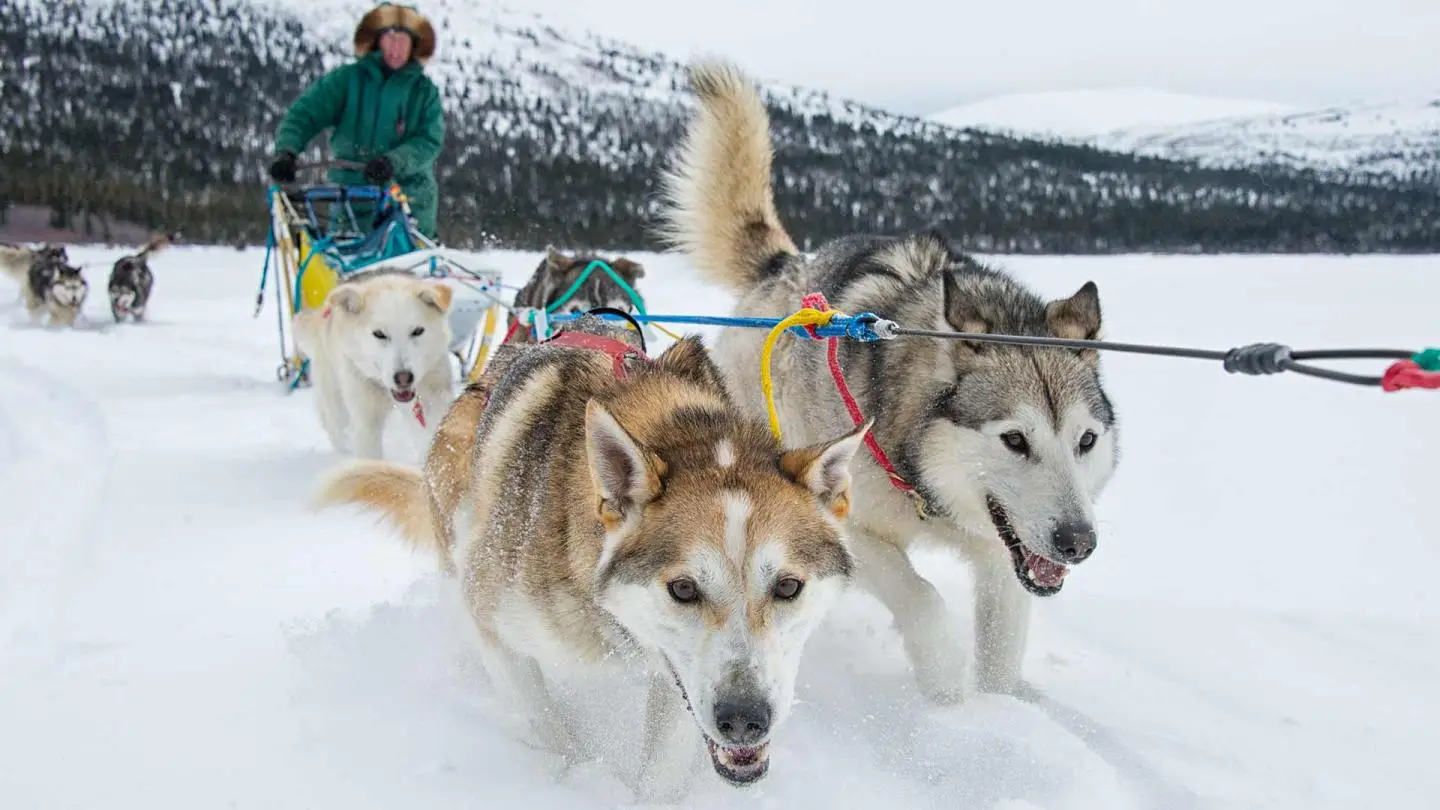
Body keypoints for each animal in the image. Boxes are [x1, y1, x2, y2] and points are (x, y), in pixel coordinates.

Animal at [289, 268, 452, 458]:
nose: (404, 377)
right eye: (379, 334)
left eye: (417, 331)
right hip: (336, 407)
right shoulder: (366, 422)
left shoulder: (435, 400)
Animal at [313, 312, 864, 795]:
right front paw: (568, 779)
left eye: (788, 586)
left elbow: (661, 772)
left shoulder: (677, 677)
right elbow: (552, 734)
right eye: (683, 588)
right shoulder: (497, 628)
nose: (745, 720)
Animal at [656, 58, 1123, 700]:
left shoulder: (1005, 554)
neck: (930, 488)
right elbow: (920, 598)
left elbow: (1002, 647)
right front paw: (946, 688)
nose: (1078, 542)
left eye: (1086, 441)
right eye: (1014, 439)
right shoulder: (847, 529)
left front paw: (999, 711)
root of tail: (787, 268)